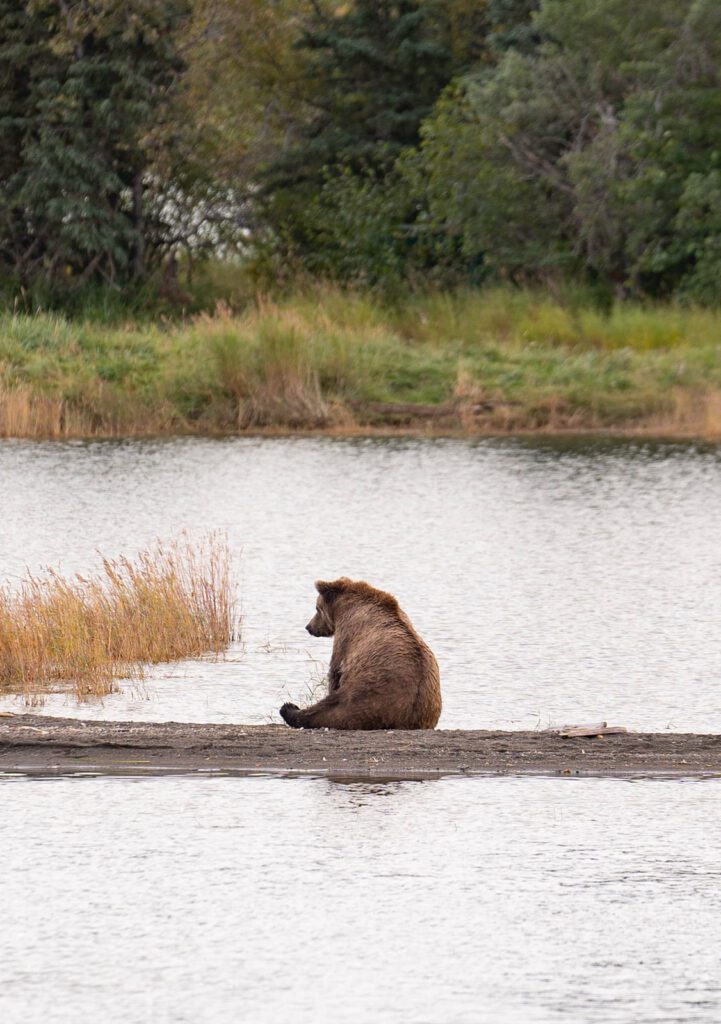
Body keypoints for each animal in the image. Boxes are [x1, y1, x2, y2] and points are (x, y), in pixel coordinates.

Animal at [278, 581, 442, 733]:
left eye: (317, 608)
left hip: (367, 694)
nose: (309, 627)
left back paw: (289, 708)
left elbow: (335, 671)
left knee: (331, 708)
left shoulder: (346, 635)